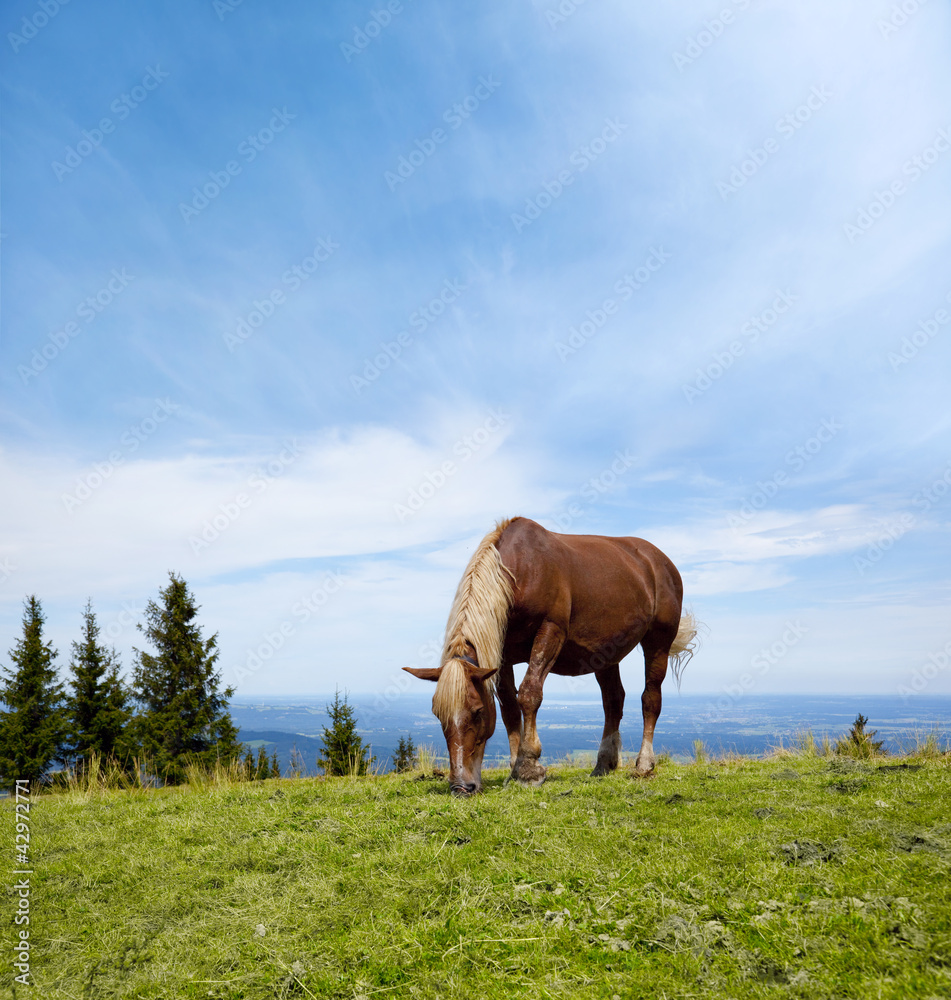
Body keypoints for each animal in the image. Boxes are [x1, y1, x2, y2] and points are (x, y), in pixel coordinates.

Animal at [404, 520, 700, 792]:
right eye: (437, 714)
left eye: (477, 712)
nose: (461, 787)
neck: (520, 570)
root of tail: (660, 561)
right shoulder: (503, 655)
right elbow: (509, 708)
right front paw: (514, 767)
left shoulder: (551, 631)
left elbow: (529, 694)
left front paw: (528, 767)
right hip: (606, 653)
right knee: (613, 702)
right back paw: (603, 764)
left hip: (658, 642)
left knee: (650, 698)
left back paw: (644, 763)